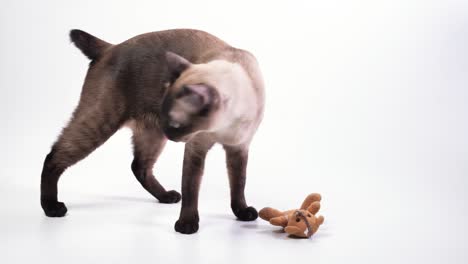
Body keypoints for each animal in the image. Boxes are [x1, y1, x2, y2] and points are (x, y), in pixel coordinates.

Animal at [40, 28, 266, 234]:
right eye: (167, 118)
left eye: (173, 123)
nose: (168, 132)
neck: (226, 126)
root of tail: (110, 47)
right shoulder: (195, 149)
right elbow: (191, 189)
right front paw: (187, 225)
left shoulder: (238, 148)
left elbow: (239, 184)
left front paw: (242, 213)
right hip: (101, 124)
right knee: (53, 156)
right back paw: (52, 208)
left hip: (151, 136)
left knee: (139, 166)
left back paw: (166, 196)